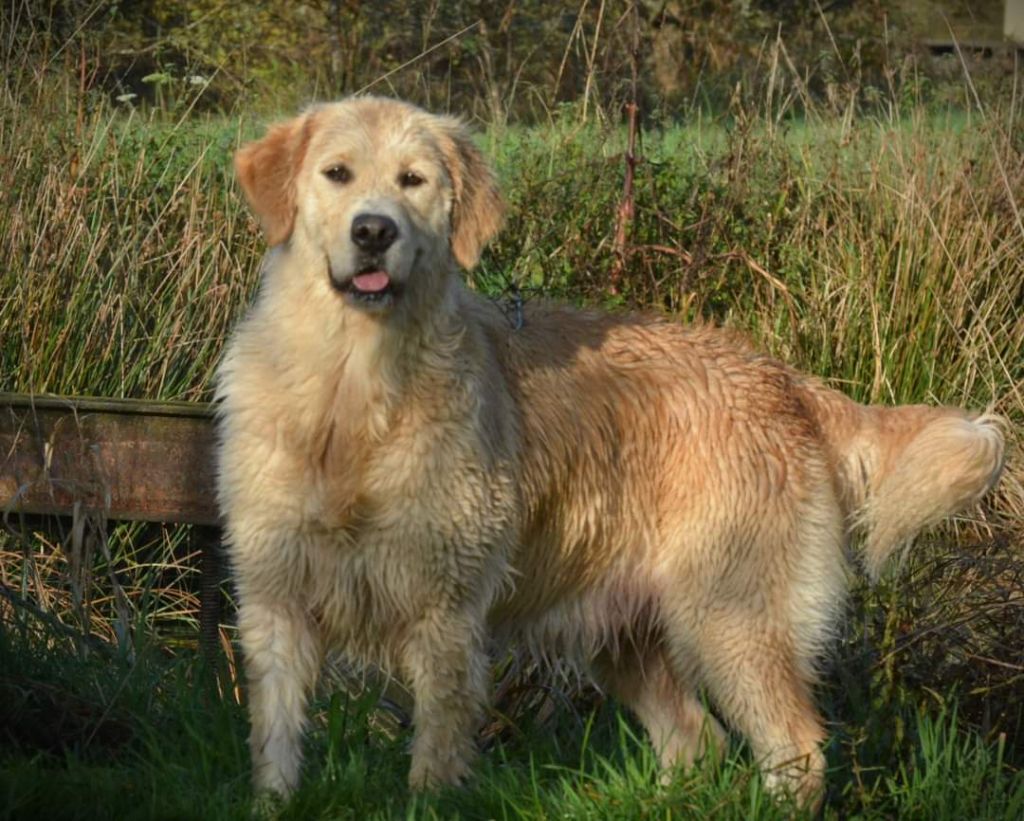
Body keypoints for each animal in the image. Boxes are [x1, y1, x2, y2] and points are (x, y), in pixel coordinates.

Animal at [211, 96, 1003, 806]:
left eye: (414, 180)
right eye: (336, 173)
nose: (373, 231)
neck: (351, 387)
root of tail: (782, 378)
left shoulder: (446, 610)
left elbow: (434, 756)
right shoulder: (274, 599)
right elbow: (274, 747)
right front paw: (271, 802)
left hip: (734, 617)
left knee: (795, 749)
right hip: (629, 637)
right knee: (696, 737)